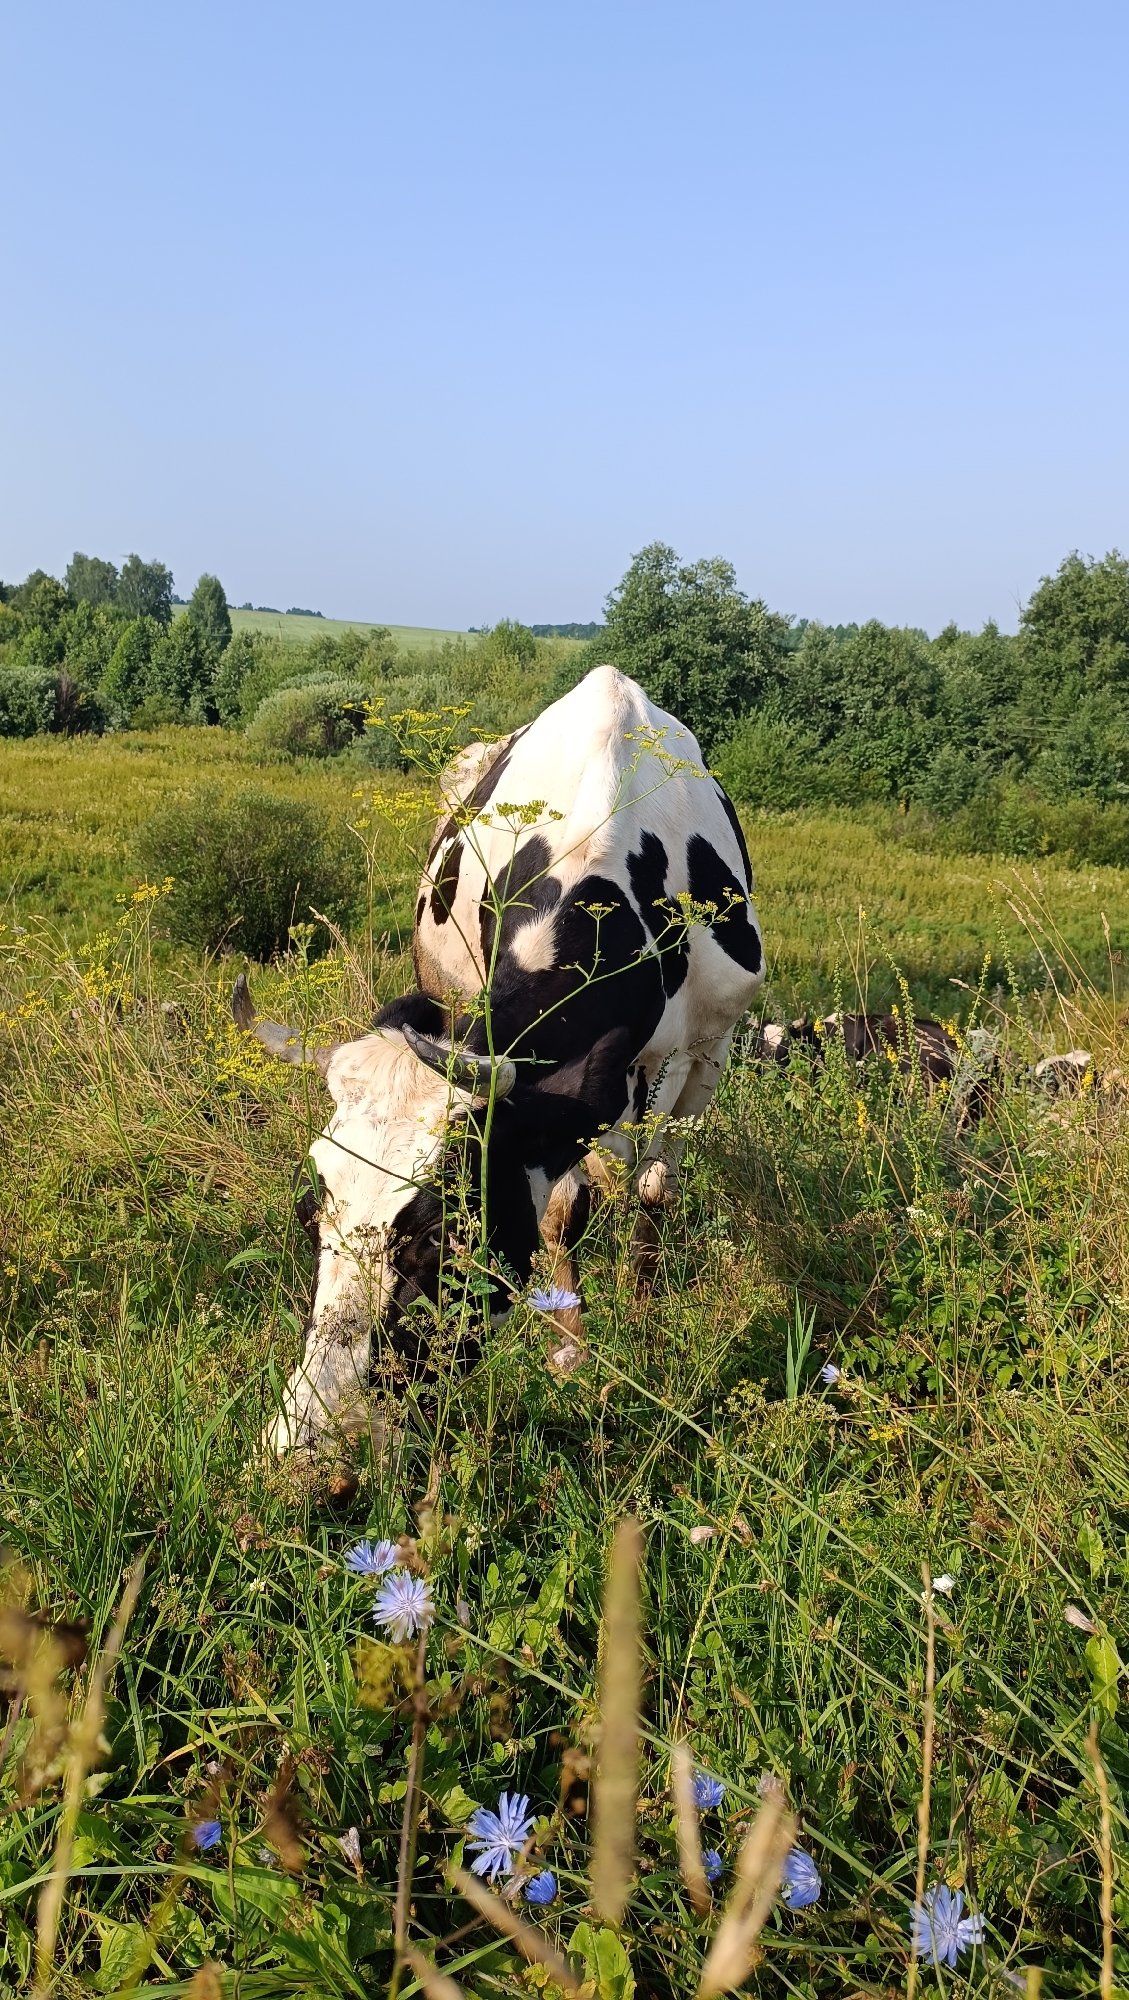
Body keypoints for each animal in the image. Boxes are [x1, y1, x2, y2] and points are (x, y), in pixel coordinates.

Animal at [234, 665, 764, 1452]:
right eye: (310, 1215)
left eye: (439, 1237)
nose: (309, 1440)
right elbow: (563, 1209)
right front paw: (570, 1343)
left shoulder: (702, 1047)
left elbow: (652, 1189)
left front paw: (639, 1318)